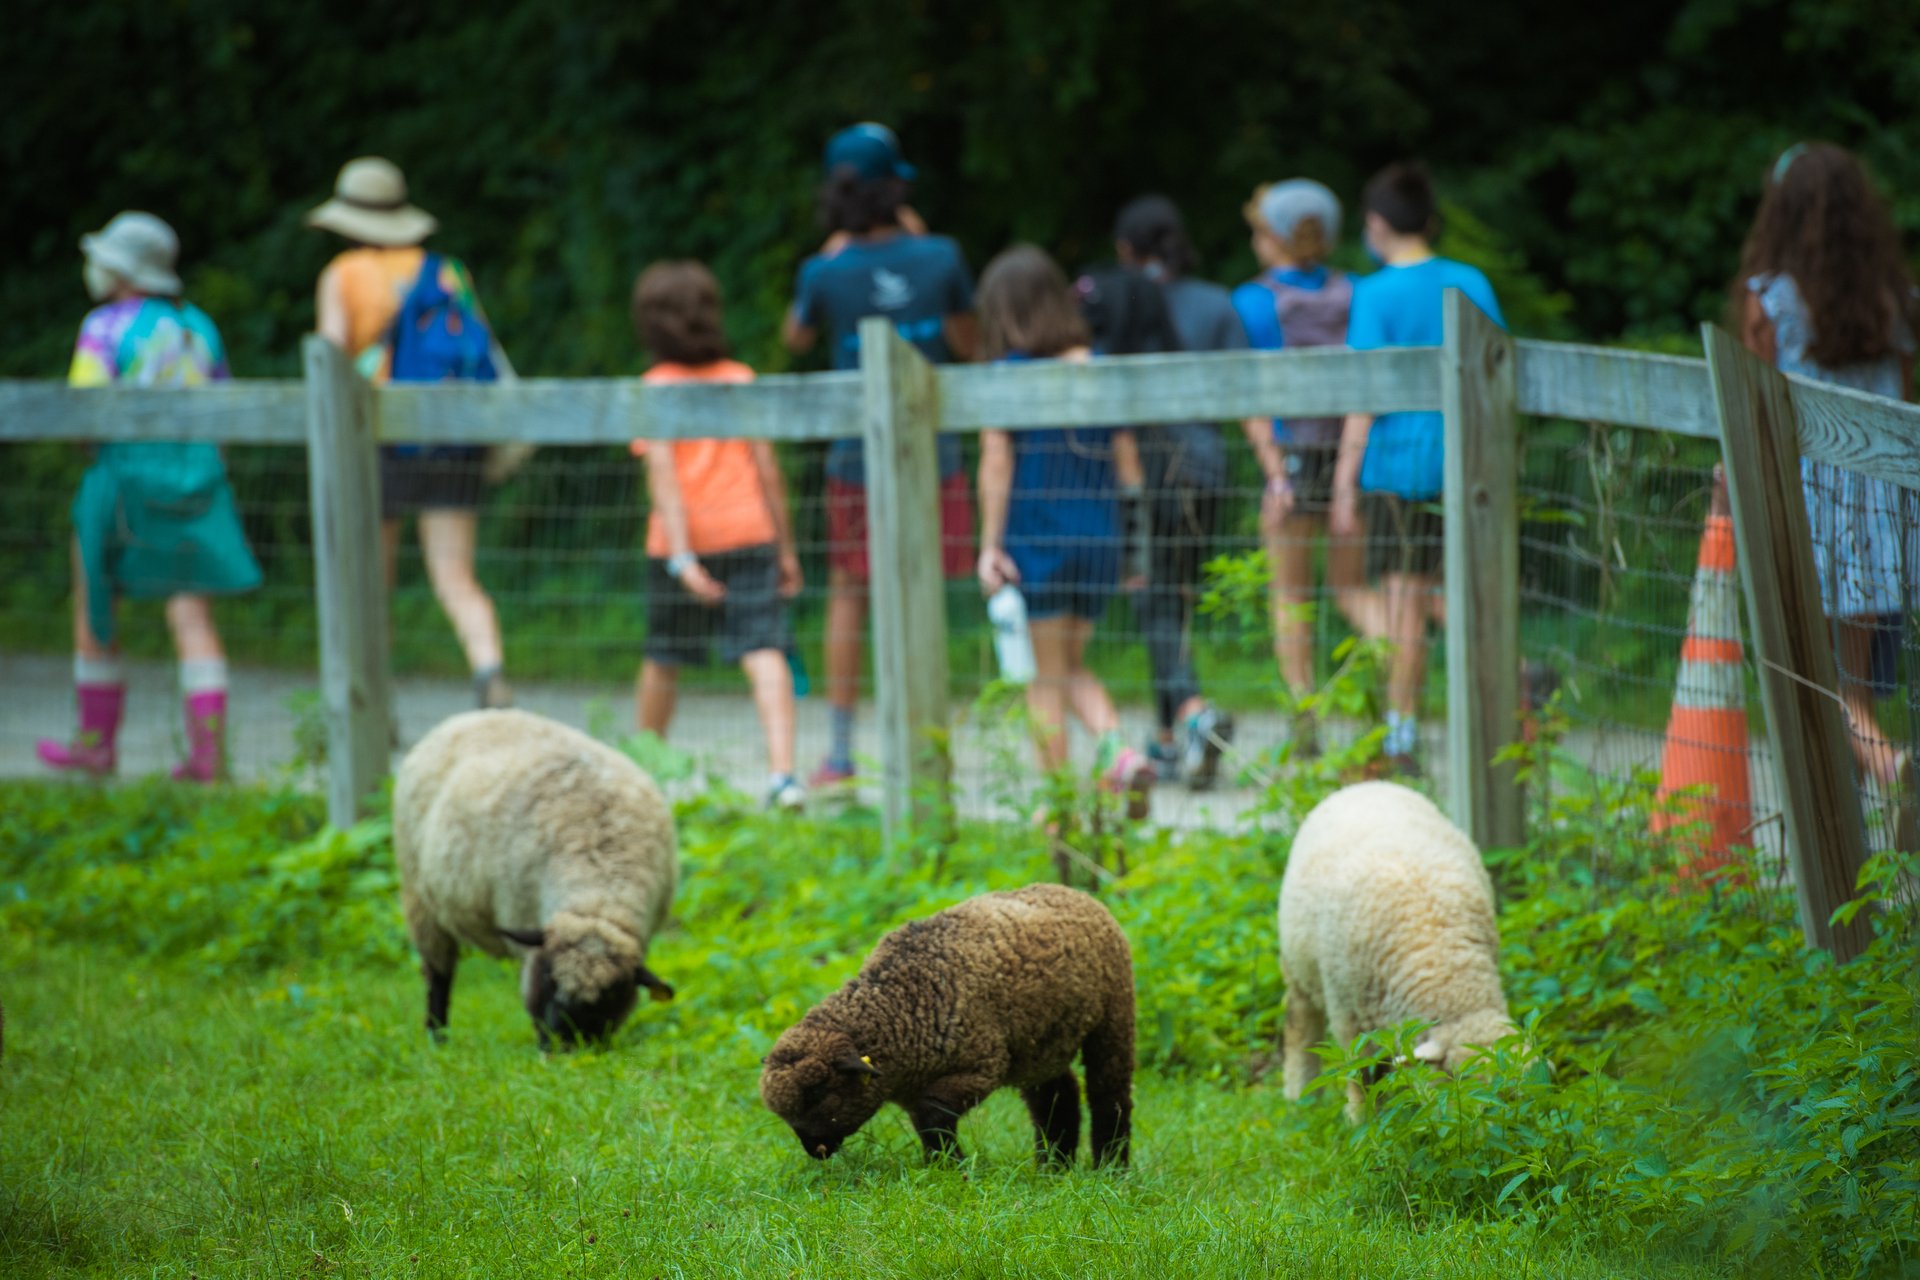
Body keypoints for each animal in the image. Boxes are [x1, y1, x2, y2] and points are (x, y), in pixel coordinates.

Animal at [393, 710, 679, 1051]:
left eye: (609, 994)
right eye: (548, 978)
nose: (564, 1044)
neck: (597, 895)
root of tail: (470, 717)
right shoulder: (524, 920)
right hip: (419, 894)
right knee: (438, 974)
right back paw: (437, 1037)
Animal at [756, 882, 1128, 1174]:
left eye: (818, 1093)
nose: (814, 1150)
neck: (901, 1006)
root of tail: (1073, 891)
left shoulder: (979, 1067)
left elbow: (933, 1116)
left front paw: (955, 1170)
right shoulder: (913, 1089)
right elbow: (926, 1125)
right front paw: (944, 1167)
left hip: (1113, 1014)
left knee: (1109, 1094)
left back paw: (1111, 1168)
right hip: (1039, 1044)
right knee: (1057, 1095)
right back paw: (1054, 1166)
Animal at [1274, 775, 1512, 1113]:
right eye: (1463, 1081)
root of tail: (1367, 784)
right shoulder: (1348, 1016)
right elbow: (1363, 1074)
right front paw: (1365, 1117)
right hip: (1299, 969)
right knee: (1300, 1022)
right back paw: (1301, 1096)